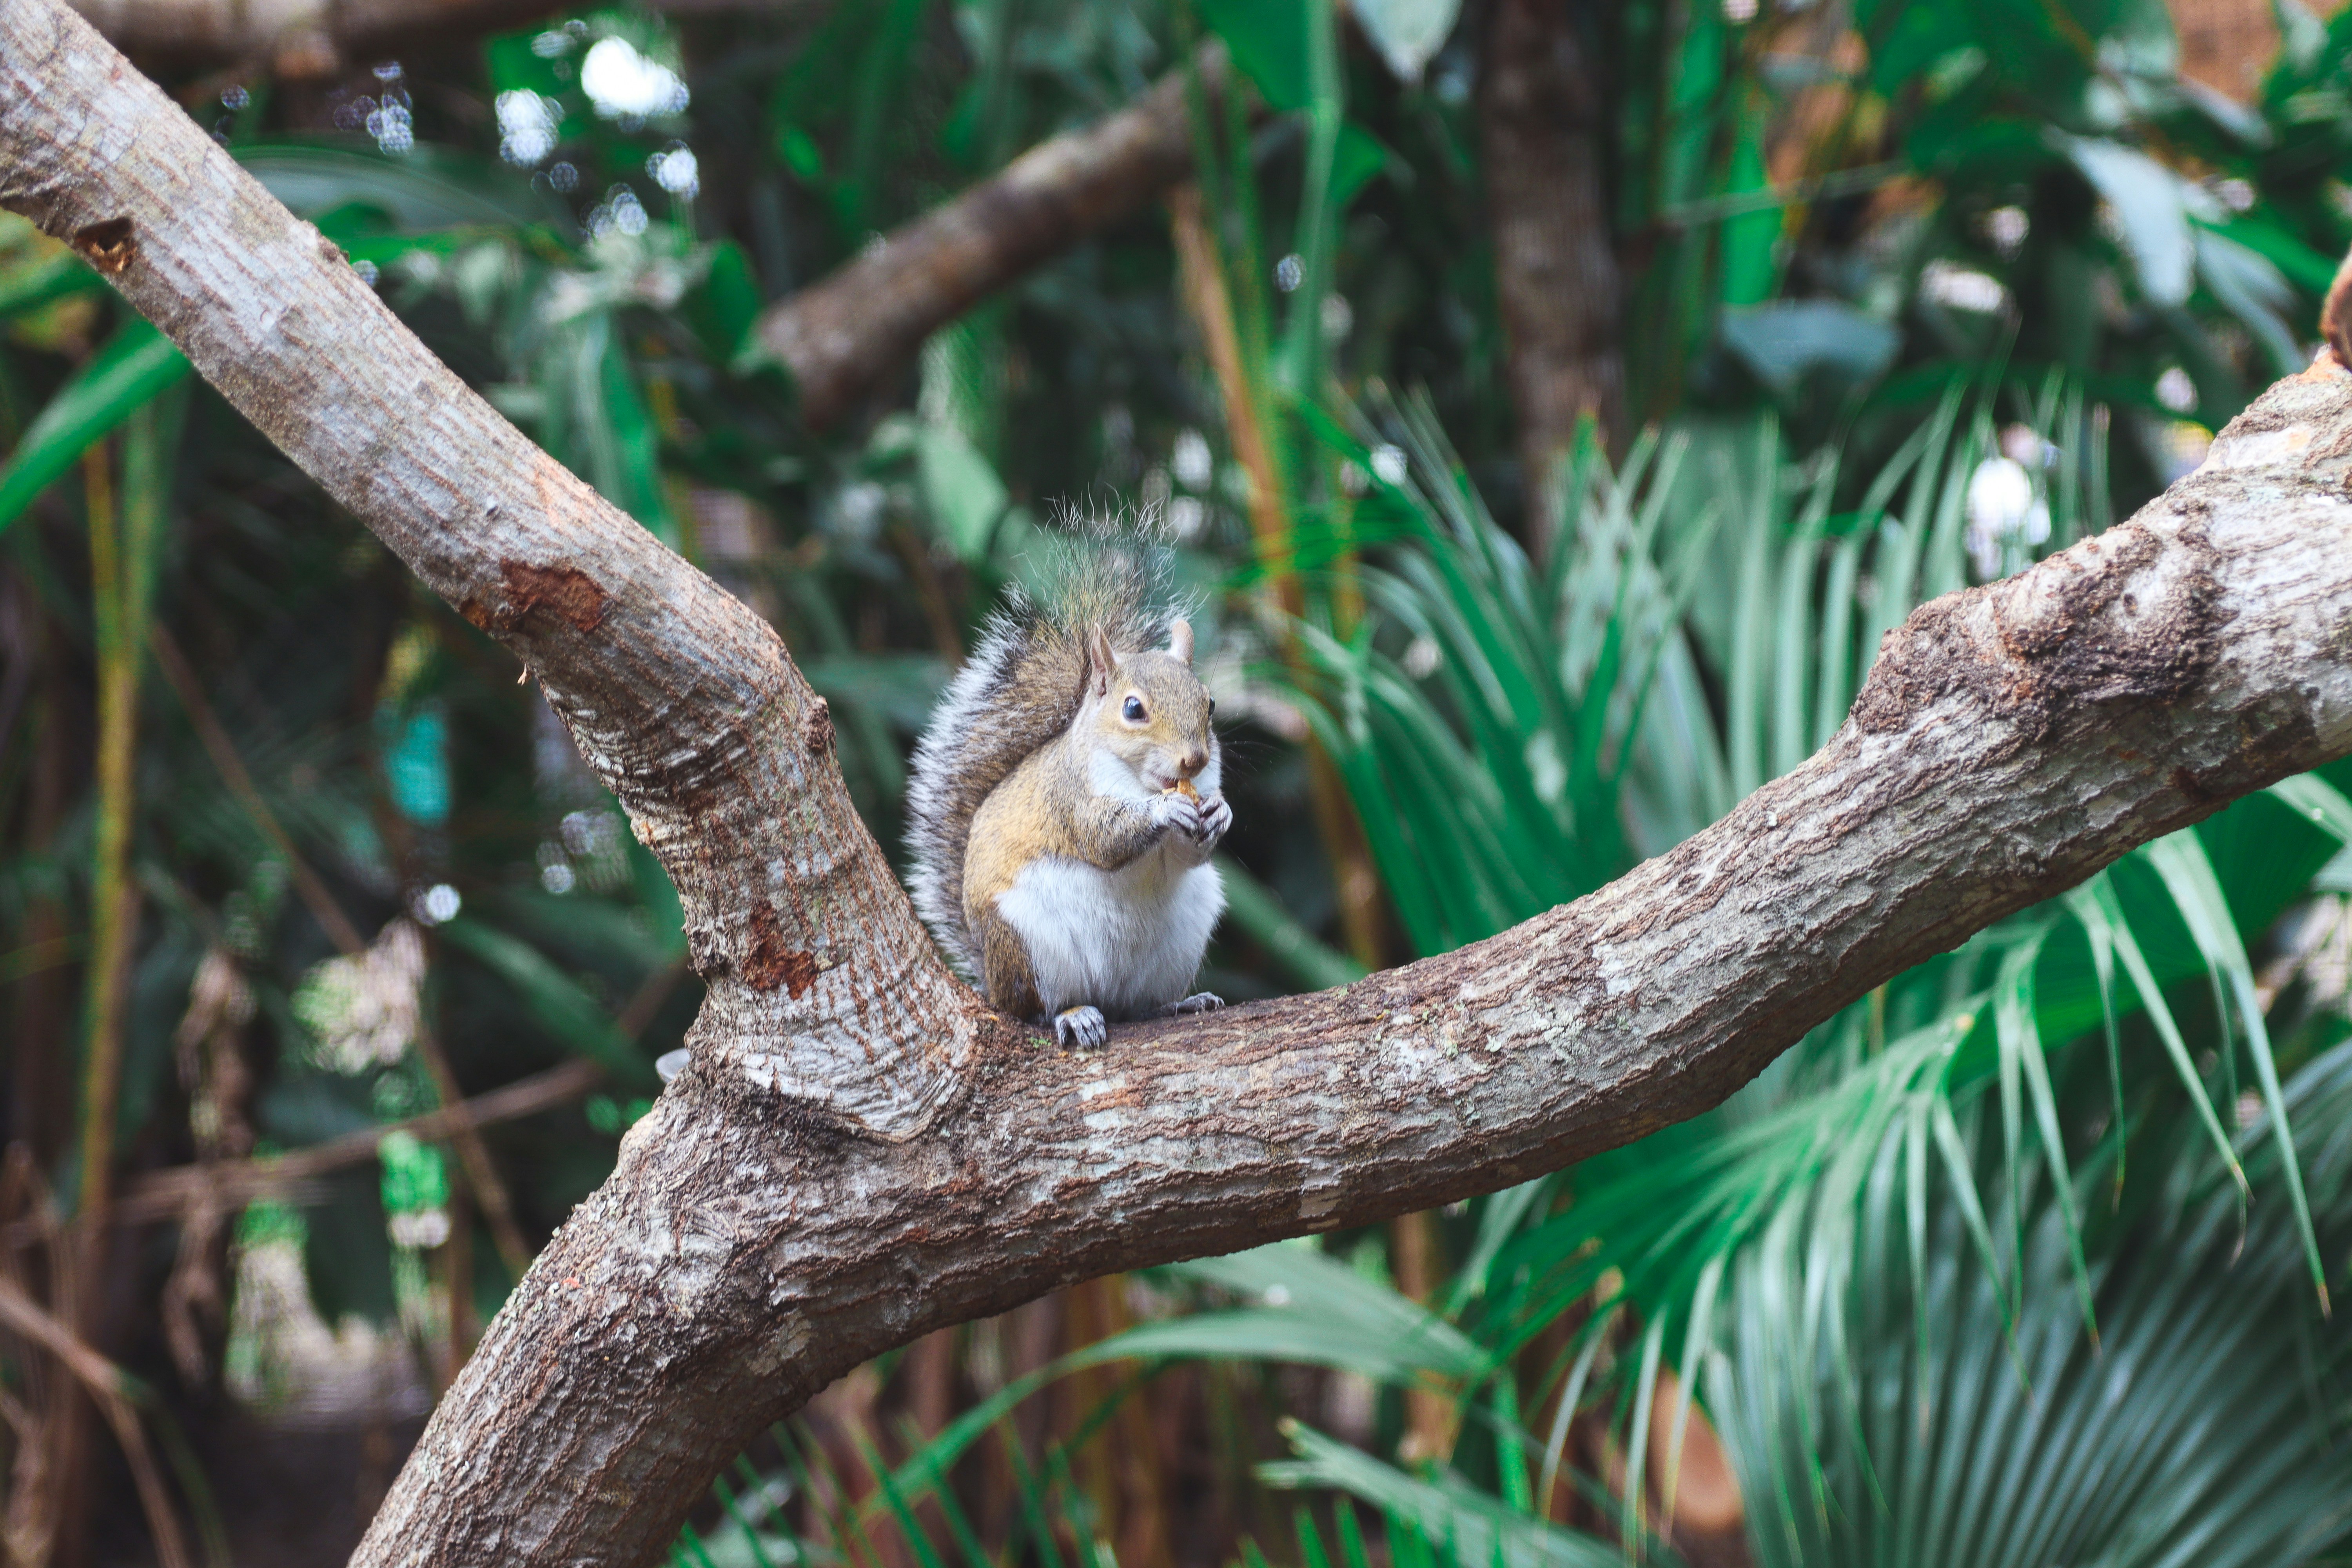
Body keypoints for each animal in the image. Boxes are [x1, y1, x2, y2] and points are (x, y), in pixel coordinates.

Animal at [906, 548, 1231, 1050]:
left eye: (1209, 703)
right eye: (1133, 708)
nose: (1195, 760)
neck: (1142, 781)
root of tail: (992, 984)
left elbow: (1187, 856)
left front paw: (1220, 812)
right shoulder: (1070, 798)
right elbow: (1103, 839)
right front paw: (1164, 810)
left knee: (1139, 1007)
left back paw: (1179, 1003)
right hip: (1027, 945)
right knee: (1037, 1010)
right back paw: (1073, 1016)